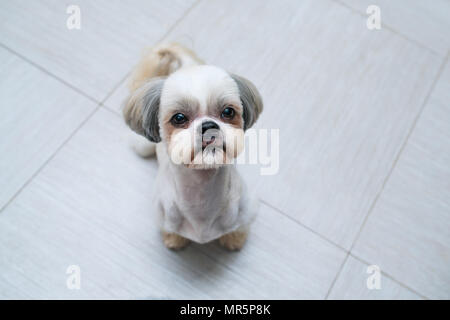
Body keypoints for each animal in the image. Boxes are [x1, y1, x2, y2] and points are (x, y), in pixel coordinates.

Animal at [123, 43, 264, 251]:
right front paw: (174, 240)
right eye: (179, 118)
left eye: (228, 111)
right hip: (143, 147)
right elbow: (171, 232)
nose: (209, 126)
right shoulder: (163, 217)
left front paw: (233, 239)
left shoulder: (247, 210)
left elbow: (238, 229)